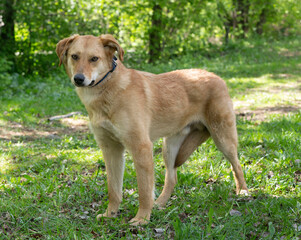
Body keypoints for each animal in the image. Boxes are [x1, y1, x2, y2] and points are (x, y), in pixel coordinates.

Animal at [55, 33, 247, 225]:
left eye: (94, 59)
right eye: (74, 56)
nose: (79, 79)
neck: (108, 89)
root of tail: (216, 76)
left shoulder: (141, 148)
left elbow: (144, 191)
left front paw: (142, 219)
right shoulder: (111, 150)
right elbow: (114, 189)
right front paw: (111, 214)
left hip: (223, 138)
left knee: (237, 165)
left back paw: (243, 192)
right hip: (170, 148)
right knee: (172, 178)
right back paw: (160, 203)